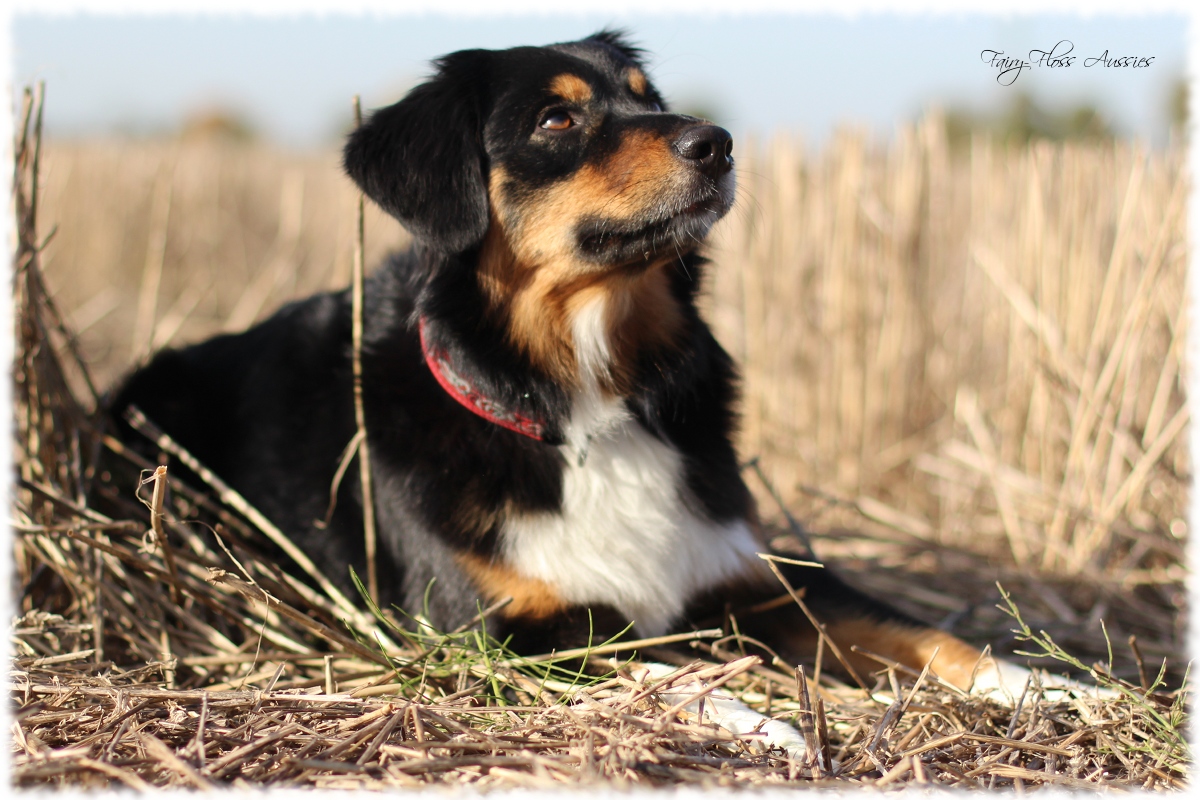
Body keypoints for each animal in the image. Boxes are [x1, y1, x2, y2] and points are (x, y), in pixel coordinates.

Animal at [114, 31, 1051, 753]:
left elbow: (916, 631)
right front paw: (765, 723)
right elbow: (661, 665)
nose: (717, 142)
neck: (588, 403)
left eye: (647, 99)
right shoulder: (503, 630)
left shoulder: (752, 576)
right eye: (557, 118)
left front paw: (1047, 685)